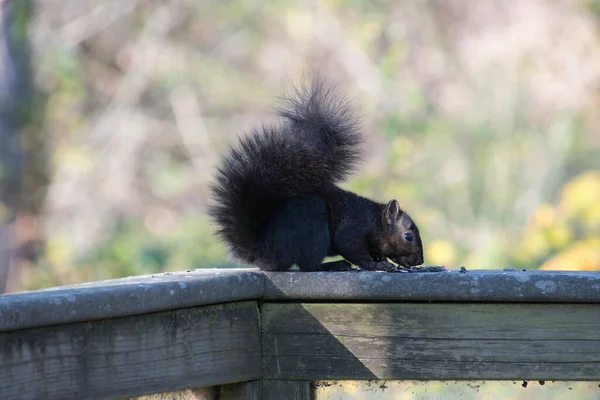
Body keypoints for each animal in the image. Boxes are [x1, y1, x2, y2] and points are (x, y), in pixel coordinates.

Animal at [209, 76, 424, 272]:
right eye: (408, 236)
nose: (420, 261)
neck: (376, 221)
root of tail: (266, 254)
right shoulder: (354, 228)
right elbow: (350, 247)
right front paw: (376, 265)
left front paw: (382, 260)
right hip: (312, 225)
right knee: (309, 265)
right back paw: (333, 265)